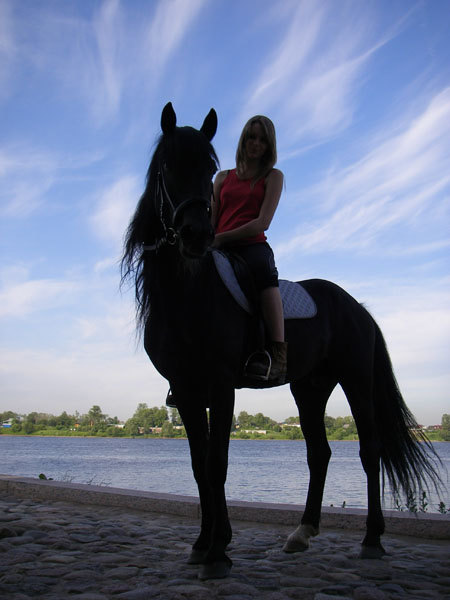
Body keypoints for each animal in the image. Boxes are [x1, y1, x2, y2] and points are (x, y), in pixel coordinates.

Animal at [121, 103, 441, 580]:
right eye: (167, 166)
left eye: (210, 168)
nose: (197, 235)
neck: (190, 292)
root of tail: (356, 306)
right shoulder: (188, 390)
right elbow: (198, 466)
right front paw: (202, 544)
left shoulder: (221, 386)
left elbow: (217, 465)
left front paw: (218, 553)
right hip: (309, 388)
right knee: (319, 453)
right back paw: (302, 533)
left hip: (357, 382)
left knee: (369, 451)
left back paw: (371, 540)